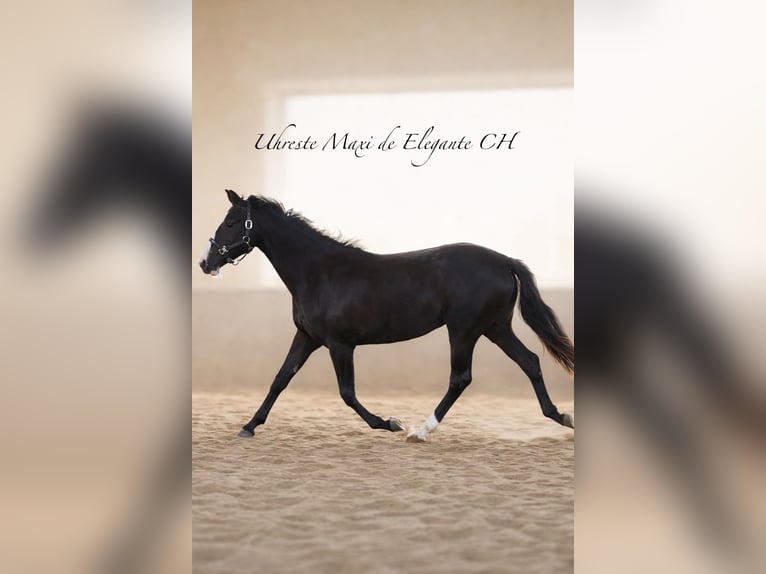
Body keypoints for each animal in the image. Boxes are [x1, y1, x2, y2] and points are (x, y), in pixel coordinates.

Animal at [199, 189, 574, 441]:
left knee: (460, 378)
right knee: (529, 361)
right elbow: (280, 379)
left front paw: (388, 423)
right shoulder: (307, 338)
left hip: (464, 330)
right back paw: (560, 416)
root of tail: (505, 261)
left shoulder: (340, 344)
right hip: (495, 327)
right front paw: (249, 426)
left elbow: (347, 393)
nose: (205, 262)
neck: (319, 272)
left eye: (230, 223)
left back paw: (420, 431)